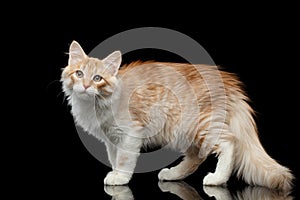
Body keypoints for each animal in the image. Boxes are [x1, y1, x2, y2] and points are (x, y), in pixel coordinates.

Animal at [60, 40, 292, 191]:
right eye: (79, 74)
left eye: (97, 78)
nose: (86, 85)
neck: (95, 105)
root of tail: (228, 82)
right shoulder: (111, 138)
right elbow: (114, 157)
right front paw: (116, 173)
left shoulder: (130, 132)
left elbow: (125, 158)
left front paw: (121, 177)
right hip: (184, 132)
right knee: (197, 157)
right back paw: (172, 174)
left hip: (194, 124)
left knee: (229, 142)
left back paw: (217, 178)